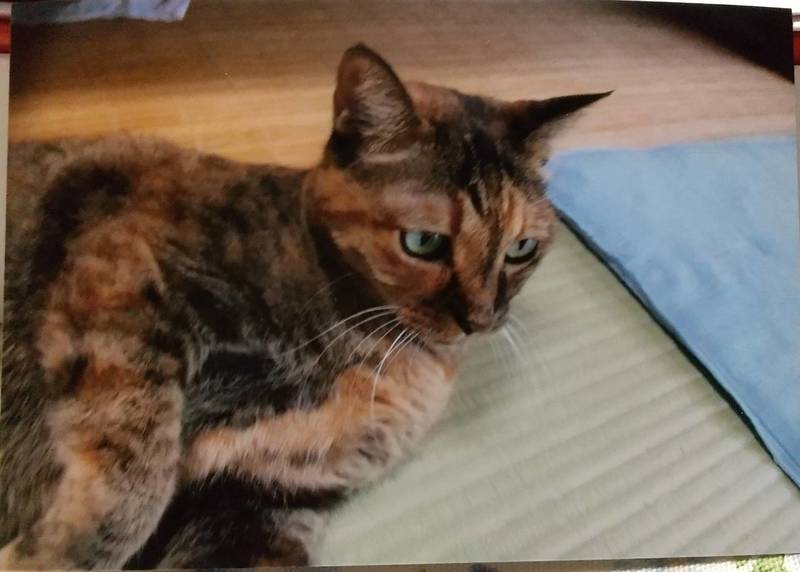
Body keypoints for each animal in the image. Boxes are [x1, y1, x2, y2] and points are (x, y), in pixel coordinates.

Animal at [0, 44, 608, 569]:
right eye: (423, 242)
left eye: (521, 249)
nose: (480, 321)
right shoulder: (121, 272)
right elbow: (135, 476)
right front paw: (47, 556)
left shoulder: (269, 495)